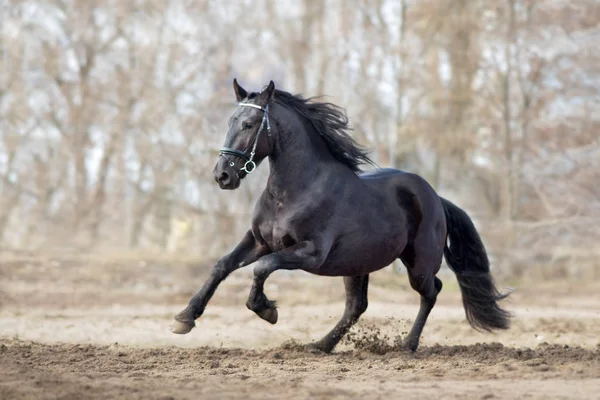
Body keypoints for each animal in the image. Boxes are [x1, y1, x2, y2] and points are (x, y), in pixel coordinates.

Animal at [170, 79, 510, 354]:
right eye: (232, 120)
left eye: (250, 124)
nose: (222, 176)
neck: (293, 191)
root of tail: (437, 198)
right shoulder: (258, 241)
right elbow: (222, 266)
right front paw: (184, 319)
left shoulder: (310, 252)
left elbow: (262, 269)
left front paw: (267, 311)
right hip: (357, 264)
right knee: (356, 306)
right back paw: (320, 345)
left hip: (418, 264)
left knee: (432, 292)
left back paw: (407, 345)